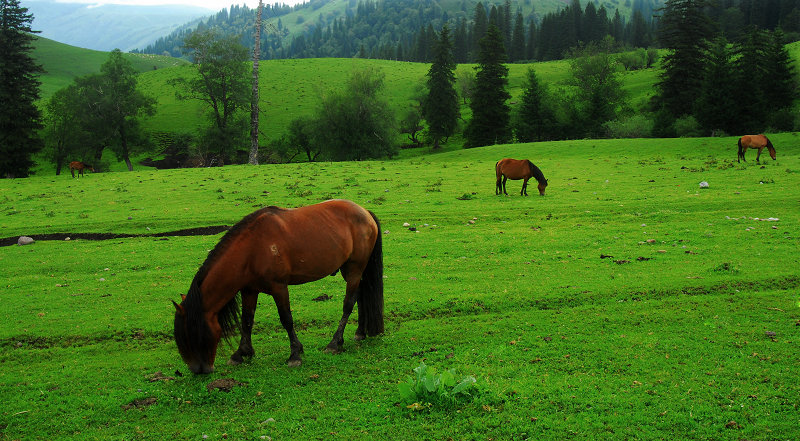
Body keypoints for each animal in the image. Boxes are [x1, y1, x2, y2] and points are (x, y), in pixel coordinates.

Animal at [174, 199, 384, 374]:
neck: (252, 248)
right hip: (351, 270)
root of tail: (365, 212)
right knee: (361, 296)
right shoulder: (249, 290)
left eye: (193, 332)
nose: (198, 370)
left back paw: (334, 344)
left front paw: (295, 355)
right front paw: (241, 353)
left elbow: (286, 319)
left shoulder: (279, 288)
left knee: (348, 303)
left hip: (355, 269)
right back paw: (360, 333)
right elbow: (247, 320)